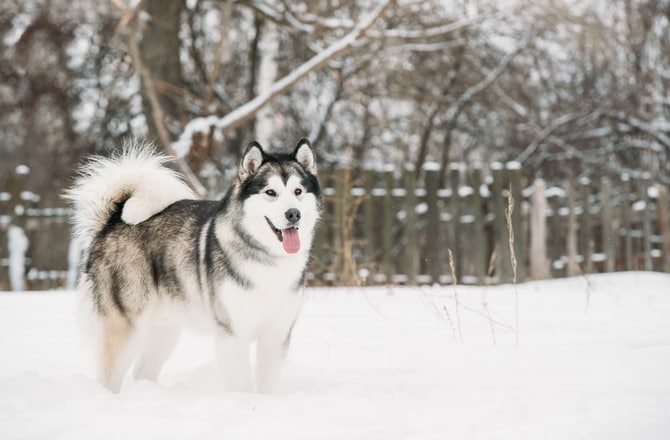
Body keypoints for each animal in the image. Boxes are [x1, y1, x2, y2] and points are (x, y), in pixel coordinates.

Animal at [65, 139, 322, 394]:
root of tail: (113, 222)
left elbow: (266, 386)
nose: (293, 214)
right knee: (108, 378)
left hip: (165, 330)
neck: (267, 258)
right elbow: (242, 386)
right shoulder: (232, 335)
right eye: (271, 192)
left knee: (141, 373)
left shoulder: (276, 336)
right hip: (125, 327)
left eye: (298, 192)